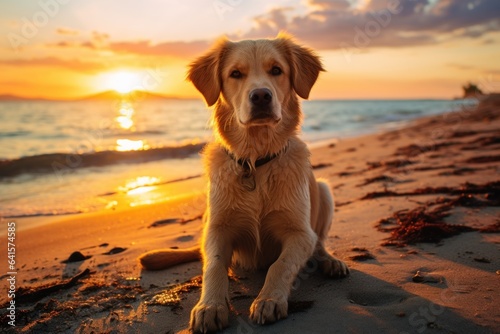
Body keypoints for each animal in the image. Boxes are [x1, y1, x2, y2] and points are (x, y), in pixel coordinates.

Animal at [139, 33, 350, 332]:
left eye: (276, 70)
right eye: (235, 74)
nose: (261, 96)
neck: (255, 161)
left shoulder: (299, 233)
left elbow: (281, 265)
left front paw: (268, 300)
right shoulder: (217, 229)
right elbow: (214, 266)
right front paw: (210, 307)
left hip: (323, 189)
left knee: (319, 243)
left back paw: (331, 262)